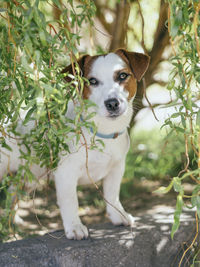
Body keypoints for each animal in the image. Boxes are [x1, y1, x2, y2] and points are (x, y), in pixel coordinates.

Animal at [0, 48, 149, 241]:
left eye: (122, 75)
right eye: (92, 81)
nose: (112, 103)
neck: (102, 132)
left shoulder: (117, 168)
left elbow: (112, 194)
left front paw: (118, 215)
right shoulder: (65, 174)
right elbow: (70, 201)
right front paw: (74, 226)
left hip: (27, 176)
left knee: (12, 194)